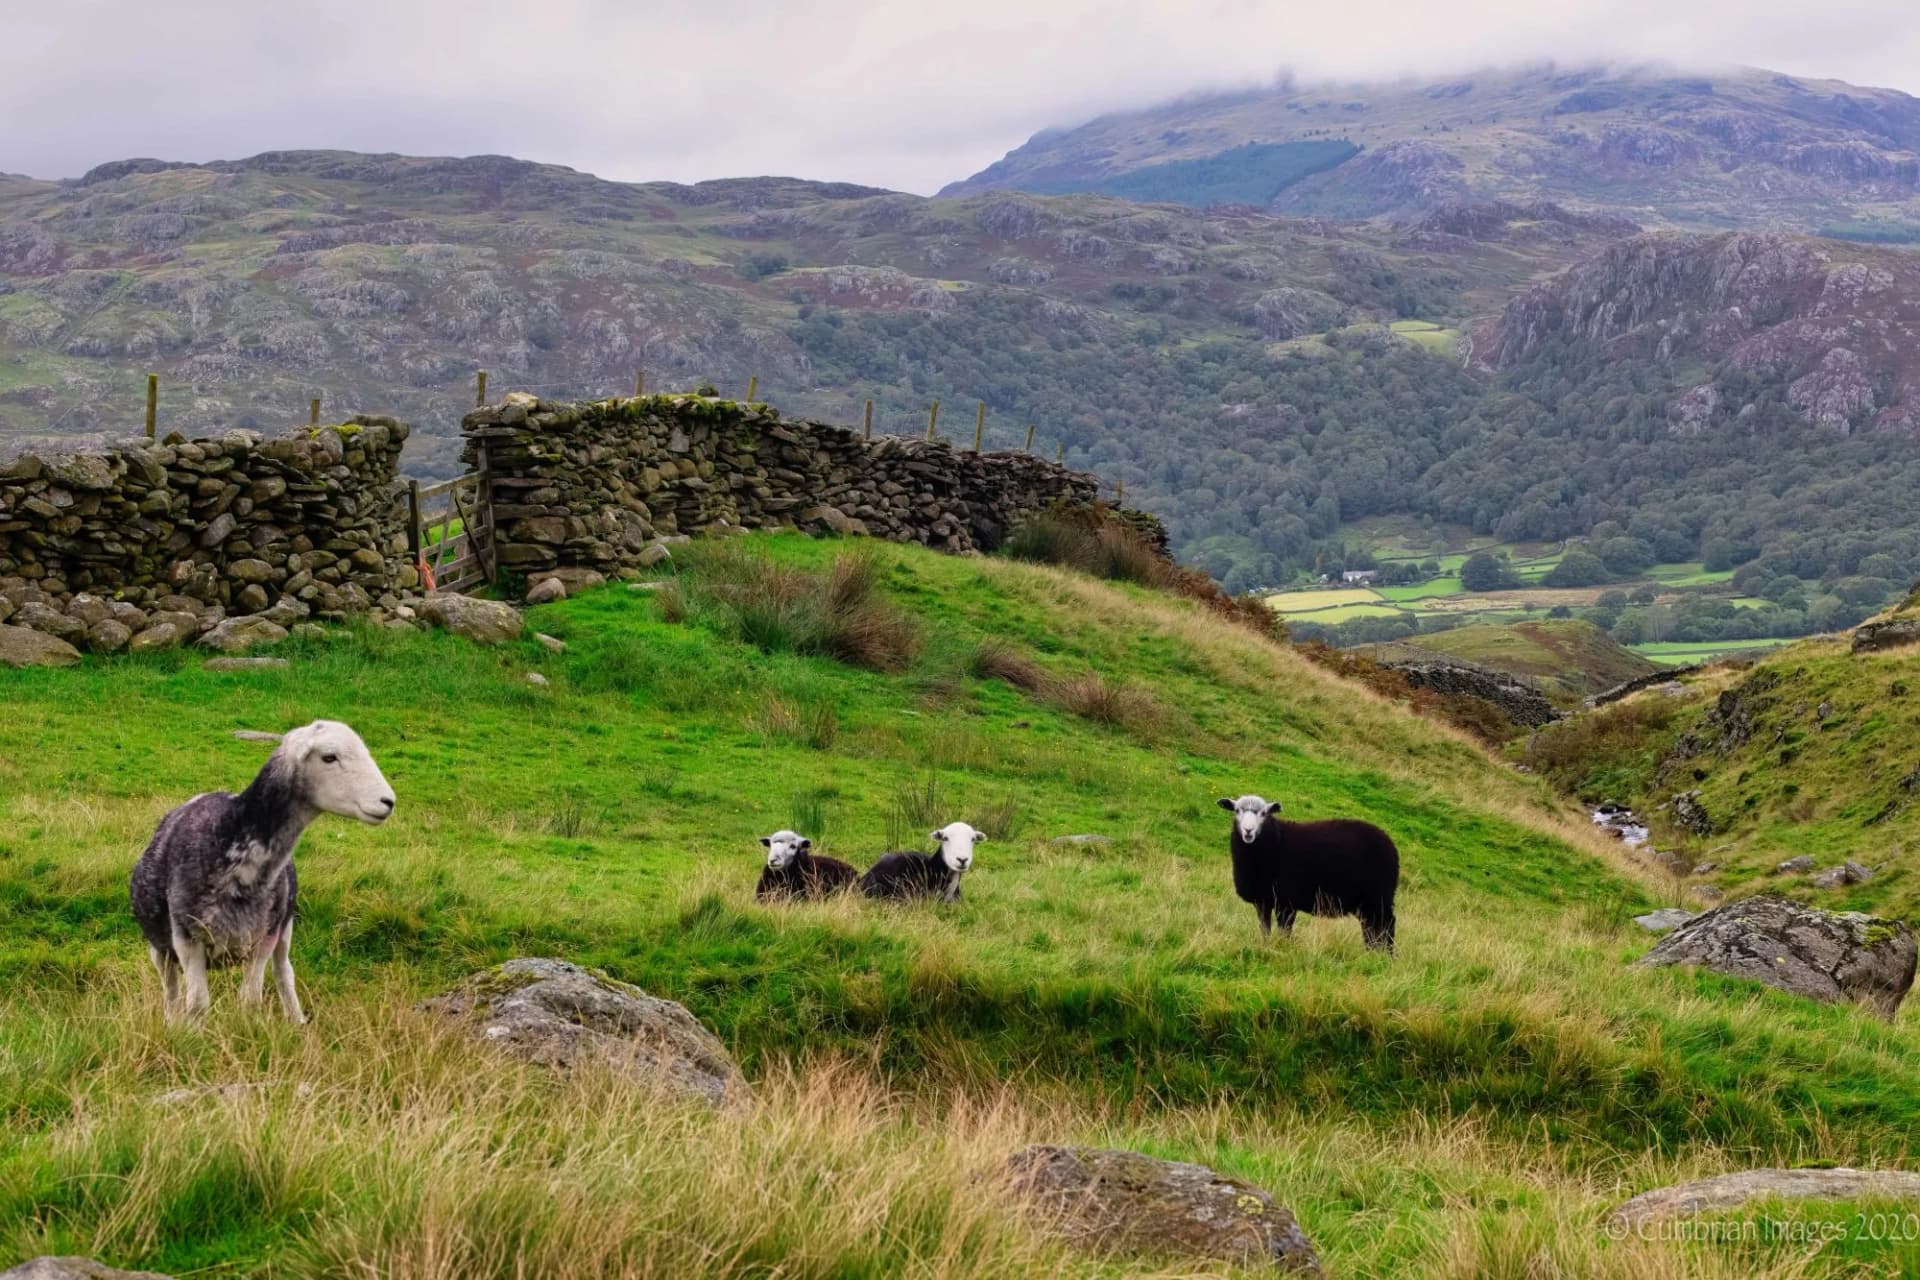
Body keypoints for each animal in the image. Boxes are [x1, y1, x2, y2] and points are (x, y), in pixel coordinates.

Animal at [129, 721, 396, 1022]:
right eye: (329, 757)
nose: (388, 801)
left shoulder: (265, 938)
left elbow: (250, 999)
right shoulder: (187, 938)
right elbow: (197, 1004)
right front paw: (188, 1033)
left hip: (285, 927)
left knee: (284, 973)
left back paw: (297, 1021)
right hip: (159, 947)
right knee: (170, 989)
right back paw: (171, 1023)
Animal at [1217, 794, 1398, 952]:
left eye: (1264, 813)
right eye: (1237, 811)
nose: (1248, 831)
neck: (1274, 842)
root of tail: (1389, 842)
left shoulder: (1287, 902)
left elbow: (1284, 931)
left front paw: (1282, 948)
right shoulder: (1263, 901)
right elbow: (1265, 929)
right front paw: (1266, 946)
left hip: (1379, 896)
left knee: (1387, 924)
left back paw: (1386, 956)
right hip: (1367, 903)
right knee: (1371, 927)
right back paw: (1371, 952)